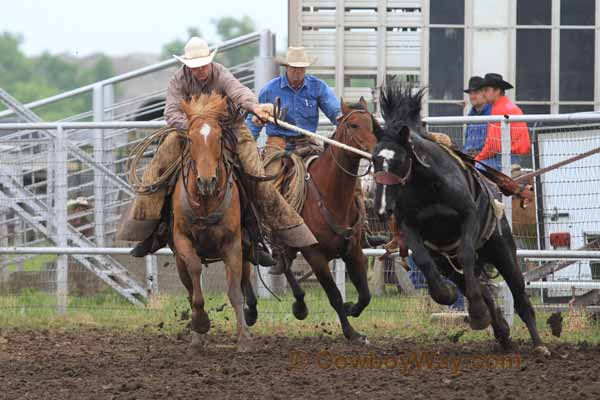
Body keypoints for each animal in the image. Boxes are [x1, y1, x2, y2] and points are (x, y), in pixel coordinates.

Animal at [169, 92, 255, 352]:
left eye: (218, 137)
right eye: (190, 138)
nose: (206, 181)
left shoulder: (233, 246)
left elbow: (235, 293)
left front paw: (244, 339)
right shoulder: (182, 241)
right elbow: (196, 278)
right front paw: (200, 325)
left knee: (242, 285)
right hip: (179, 262)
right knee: (190, 289)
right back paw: (197, 336)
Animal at [278, 98, 380, 342]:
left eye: (373, 125)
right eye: (353, 125)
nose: (376, 153)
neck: (331, 197)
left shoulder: (354, 250)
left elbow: (365, 294)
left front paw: (352, 308)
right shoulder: (315, 255)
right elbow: (334, 296)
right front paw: (351, 332)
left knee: (283, 262)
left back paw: (299, 305)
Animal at [372, 80, 552, 354]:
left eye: (400, 160)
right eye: (374, 159)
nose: (382, 208)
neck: (429, 186)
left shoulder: (469, 217)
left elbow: (467, 253)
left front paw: (476, 313)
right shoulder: (409, 227)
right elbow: (424, 261)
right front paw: (446, 295)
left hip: (504, 252)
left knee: (520, 296)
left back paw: (538, 344)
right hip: (448, 264)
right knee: (476, 286)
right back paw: (501, 331)